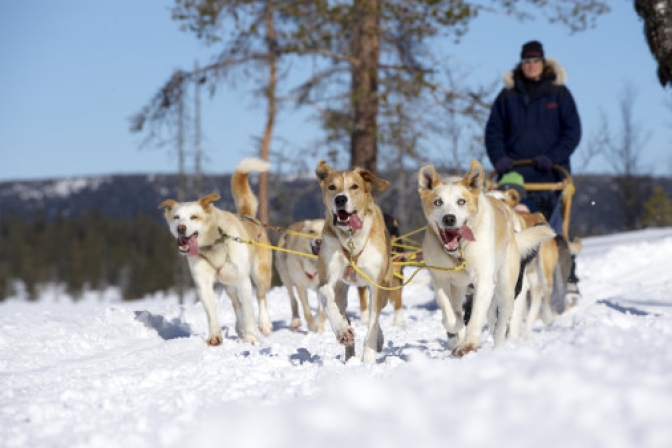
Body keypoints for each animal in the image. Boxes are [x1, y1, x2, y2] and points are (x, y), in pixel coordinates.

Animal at [158, 158, 272, 346]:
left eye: (194, 217)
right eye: (176, 217)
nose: (181, 228)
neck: (215, 244)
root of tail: (249, 218)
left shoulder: (244, 282)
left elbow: (249, 311)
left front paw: (251, 338)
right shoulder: (203, 283)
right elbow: (212, 312)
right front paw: (215, 336)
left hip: (260, 274)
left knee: (261, 297)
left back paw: (264, 324)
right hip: (228, 284)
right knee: (236, 303)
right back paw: (240, 328)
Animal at [316, 159, 394, 362]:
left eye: (354, 186)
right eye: (332, 187)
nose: (340, 199)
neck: (351, 238)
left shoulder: (377, 283)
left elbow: (373, 323)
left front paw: (368, 360)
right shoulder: (327, 279)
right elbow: (328, 300)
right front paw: (342, 330)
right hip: (341, 290)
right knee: (342, 310)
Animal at [418, 161, 552, 356]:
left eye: (461, 201)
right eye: (438, 202)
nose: (449, 218)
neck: (461, 251)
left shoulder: (484, 281)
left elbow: (476, 317)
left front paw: (470, 342)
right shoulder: (441, 280)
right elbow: (450, 316)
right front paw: (457, 331)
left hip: (506, 289)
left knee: (501, 324)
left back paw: (497, 348)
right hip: (460, 288)